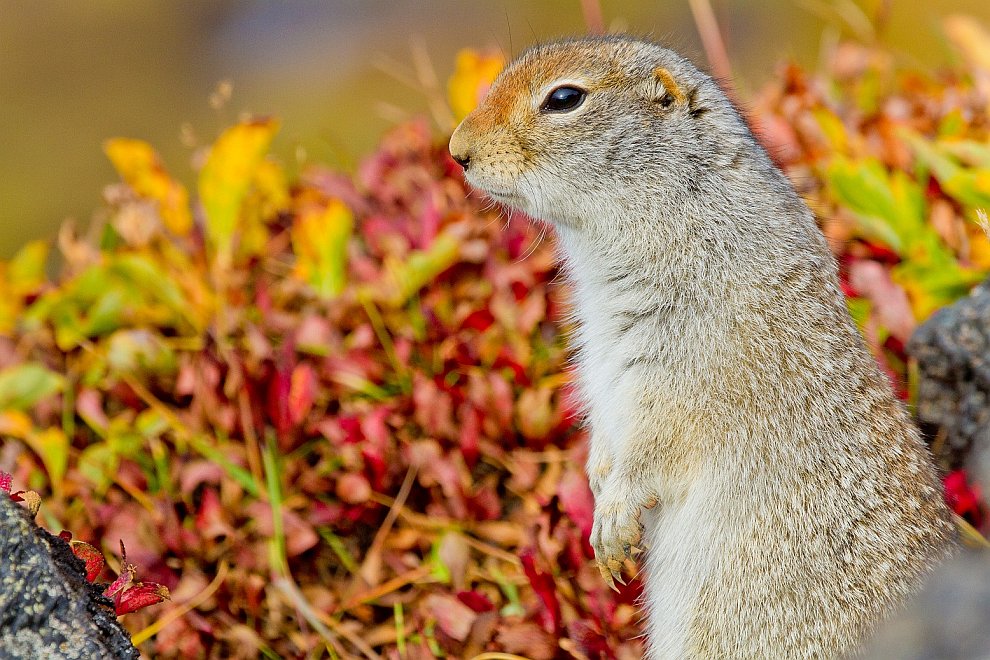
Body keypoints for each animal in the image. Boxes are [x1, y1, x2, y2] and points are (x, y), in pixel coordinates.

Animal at [452, 37, 960, 660]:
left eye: (564, 98)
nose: (457, 151)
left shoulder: (691, 369)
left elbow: (654, 443)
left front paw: (613, 521)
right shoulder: (600, 363)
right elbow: (606, 435)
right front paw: (598, 486)